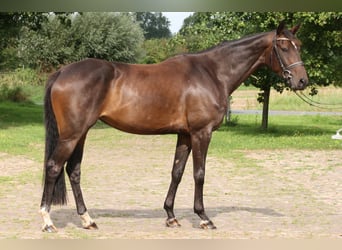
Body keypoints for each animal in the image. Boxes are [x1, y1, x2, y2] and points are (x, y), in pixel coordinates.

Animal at [39, 22, 308, 232]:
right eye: (284, 47)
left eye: (300, 45)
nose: (302, 81)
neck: (212, 73)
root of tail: (62, 72)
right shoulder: (201, 133)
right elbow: (199, 173)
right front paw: (204, 218)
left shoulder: (185, 135)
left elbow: (176, 172)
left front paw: (171, 216)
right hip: (71, 135)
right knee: (53, 167)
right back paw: (48, 221)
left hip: (81, 134)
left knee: (73, 171)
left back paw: (87, 220)